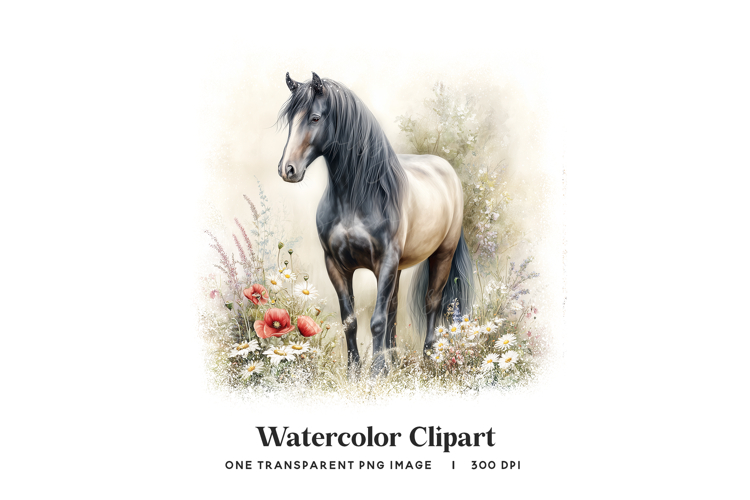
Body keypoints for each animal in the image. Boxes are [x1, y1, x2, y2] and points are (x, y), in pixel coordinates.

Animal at [277, 72, 473, 376]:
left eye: (315, 118)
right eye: (290, 120)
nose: (287, 169)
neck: (357, 198)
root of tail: (447, 171)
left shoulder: (385, 262)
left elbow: (377, 320)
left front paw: (377, 371)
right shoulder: (336, 265)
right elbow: (351, 321)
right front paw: (355, 371)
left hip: (441, 255)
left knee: (432, 303)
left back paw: (428, 357)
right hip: (399, 267)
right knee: (393, 307)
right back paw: (394, 359)